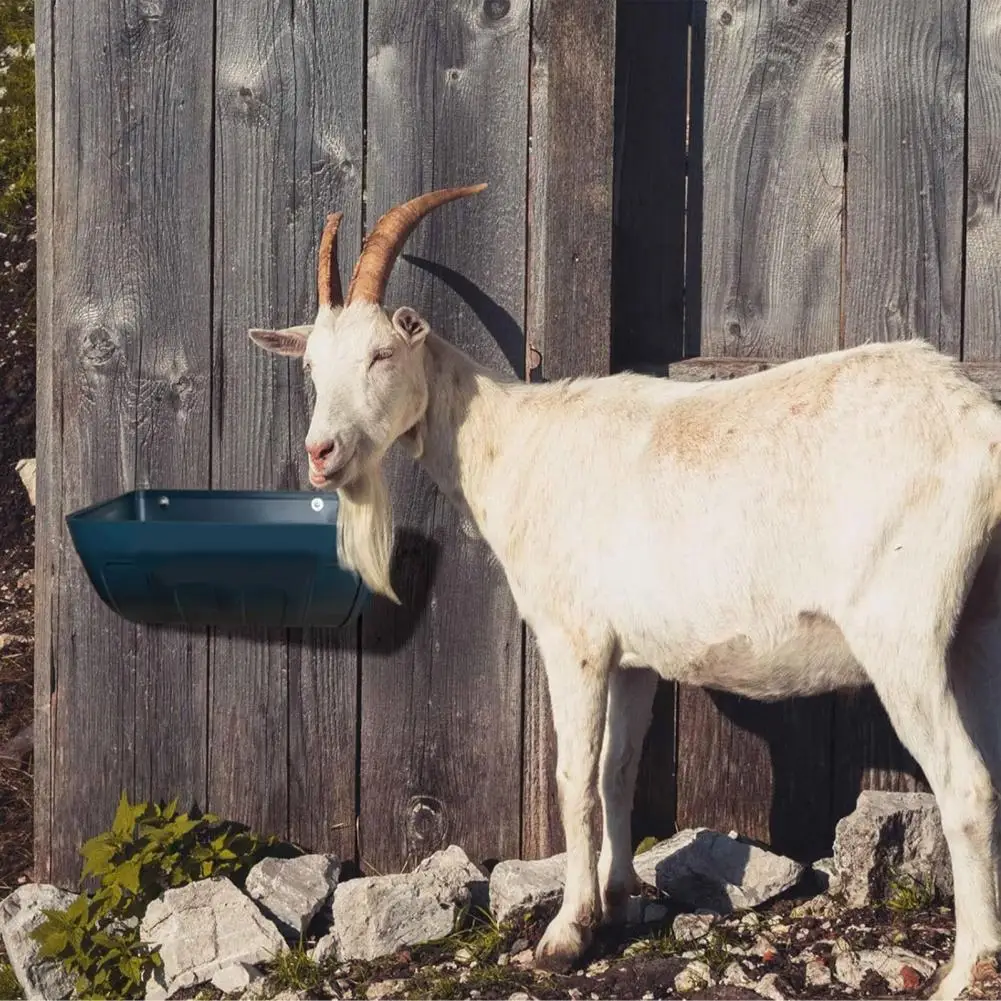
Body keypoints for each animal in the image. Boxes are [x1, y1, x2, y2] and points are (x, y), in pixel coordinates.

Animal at [248, 184, 1001, 996]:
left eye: (382, 353)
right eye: (312, 367)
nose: (321, 453)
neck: (514, 444)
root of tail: (981, 426)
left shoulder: (573, 638)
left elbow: (574, 774)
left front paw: (564, 933)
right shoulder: (636, 658)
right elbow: (617, 771)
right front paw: (615, 897)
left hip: (902, 632)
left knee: (963, 783)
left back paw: (965, 968)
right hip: (978, 630)